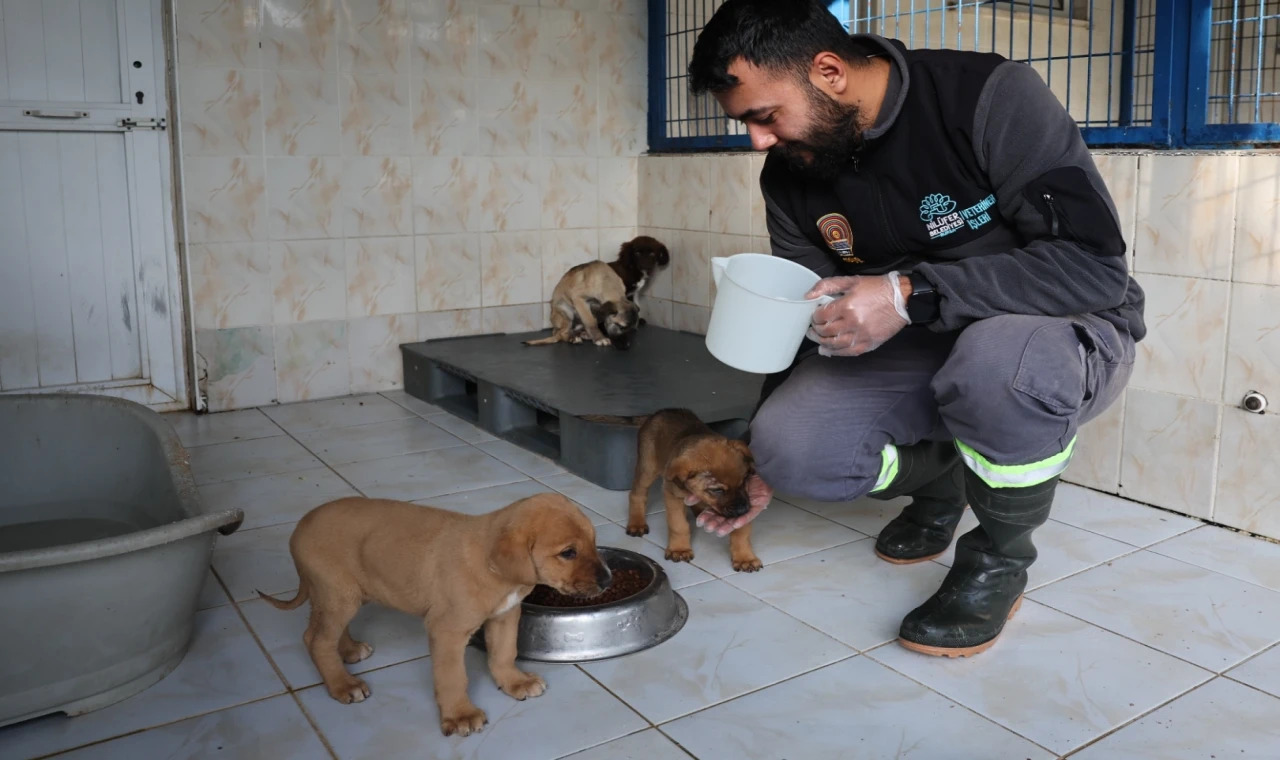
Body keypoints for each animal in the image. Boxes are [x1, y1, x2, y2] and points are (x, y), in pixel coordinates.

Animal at [256, 491, 609, 731]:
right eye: (568, 553)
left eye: (594, 542)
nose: (607, 579)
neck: (491, 565)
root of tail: (299, 527)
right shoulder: (447, 631)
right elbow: (452, 677)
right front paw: (461, 714)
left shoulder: (504, 617)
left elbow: (504, 654)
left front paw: (514, 682)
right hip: (338, 594)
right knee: (316, 640)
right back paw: (343, 685)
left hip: (344, 594)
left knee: (322, 630)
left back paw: (350, 650)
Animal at [627, 409, 757, 568]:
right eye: (717, 490)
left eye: (744, 481)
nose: (743, 510)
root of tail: (658, 412)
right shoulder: (672, 496)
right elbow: (678, 525)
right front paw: (679, 549)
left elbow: (742, 531)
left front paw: (745, 557)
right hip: (648, 469)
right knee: (637, 494)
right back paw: (636, 522)